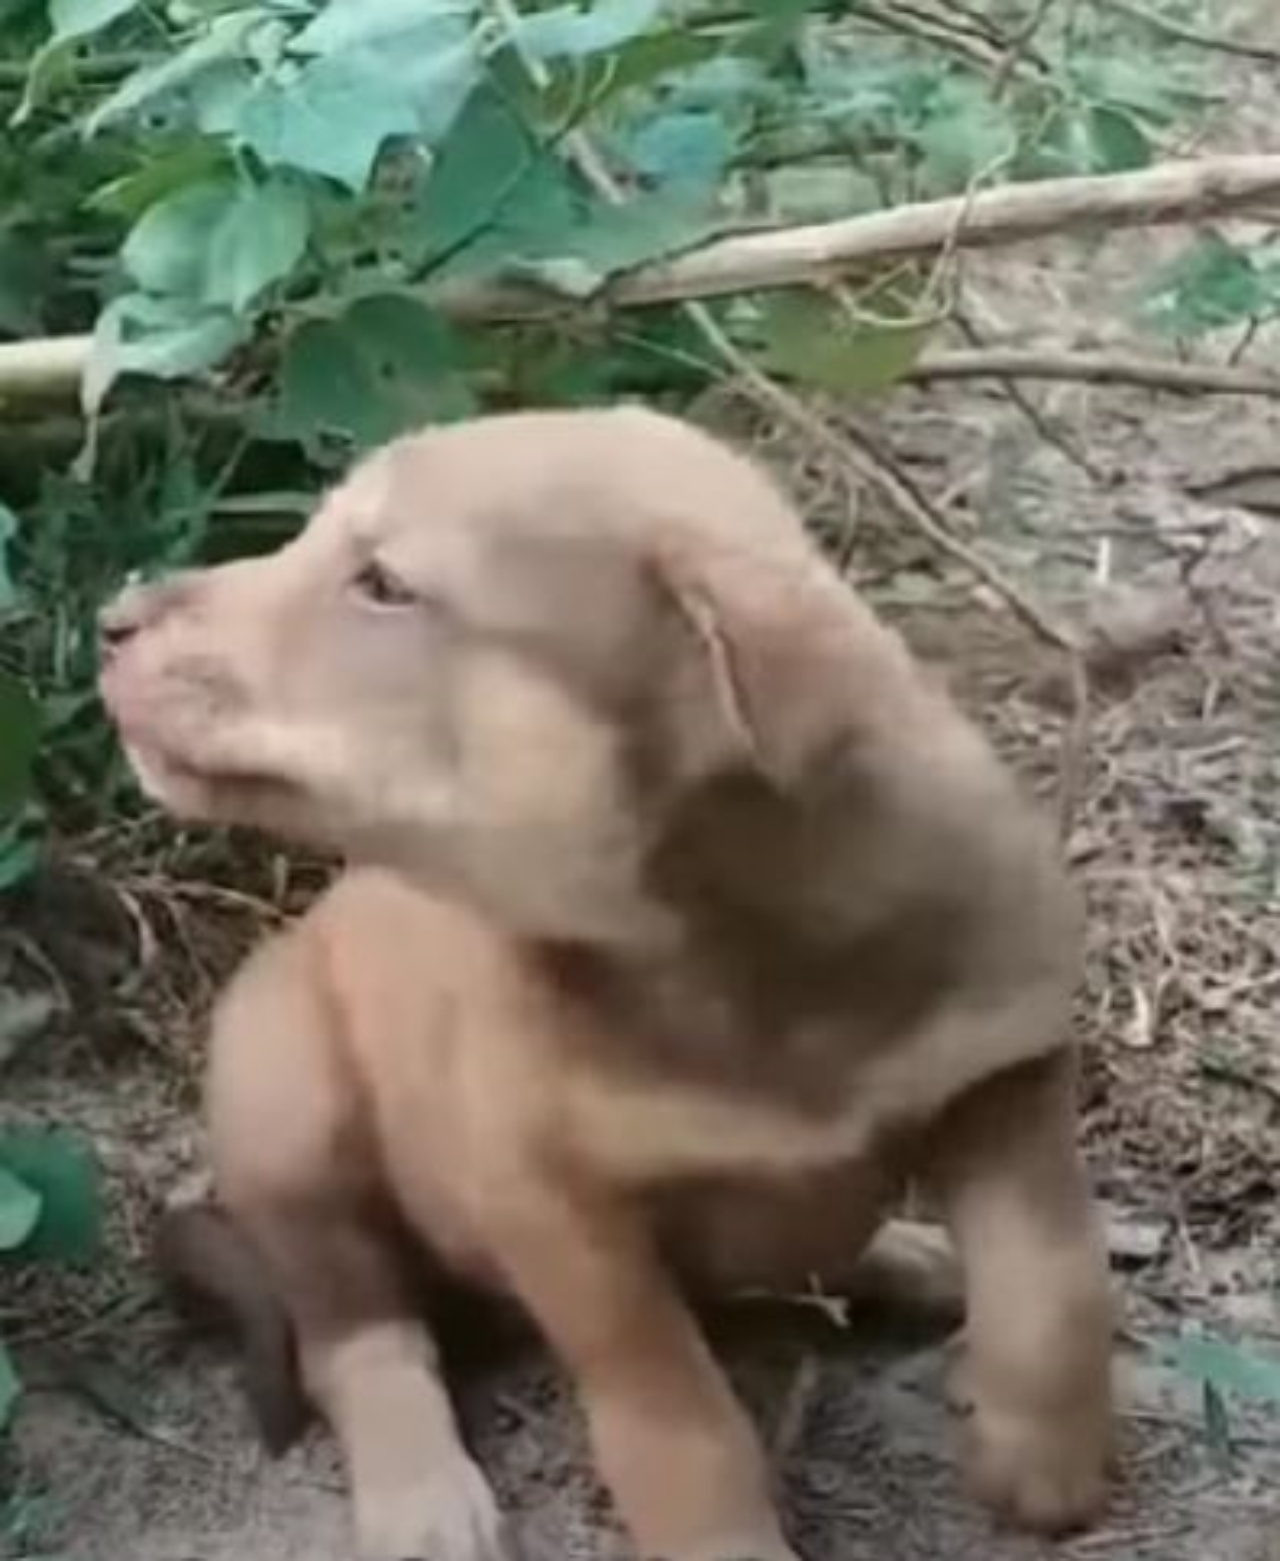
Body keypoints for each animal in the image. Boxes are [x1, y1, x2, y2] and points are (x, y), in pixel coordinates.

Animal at [99, 408, 1117, 1554]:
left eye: (384, 583)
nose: (112, 620)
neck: (726, 949)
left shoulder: (1005, 1063)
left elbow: (1052, 1277)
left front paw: (1041, 1456)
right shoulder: (558, 1206)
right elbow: (675, 1412)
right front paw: (726, 1540)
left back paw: (913, 1255)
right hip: (290, 1104)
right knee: (360, 1334)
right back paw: (422, 1496)